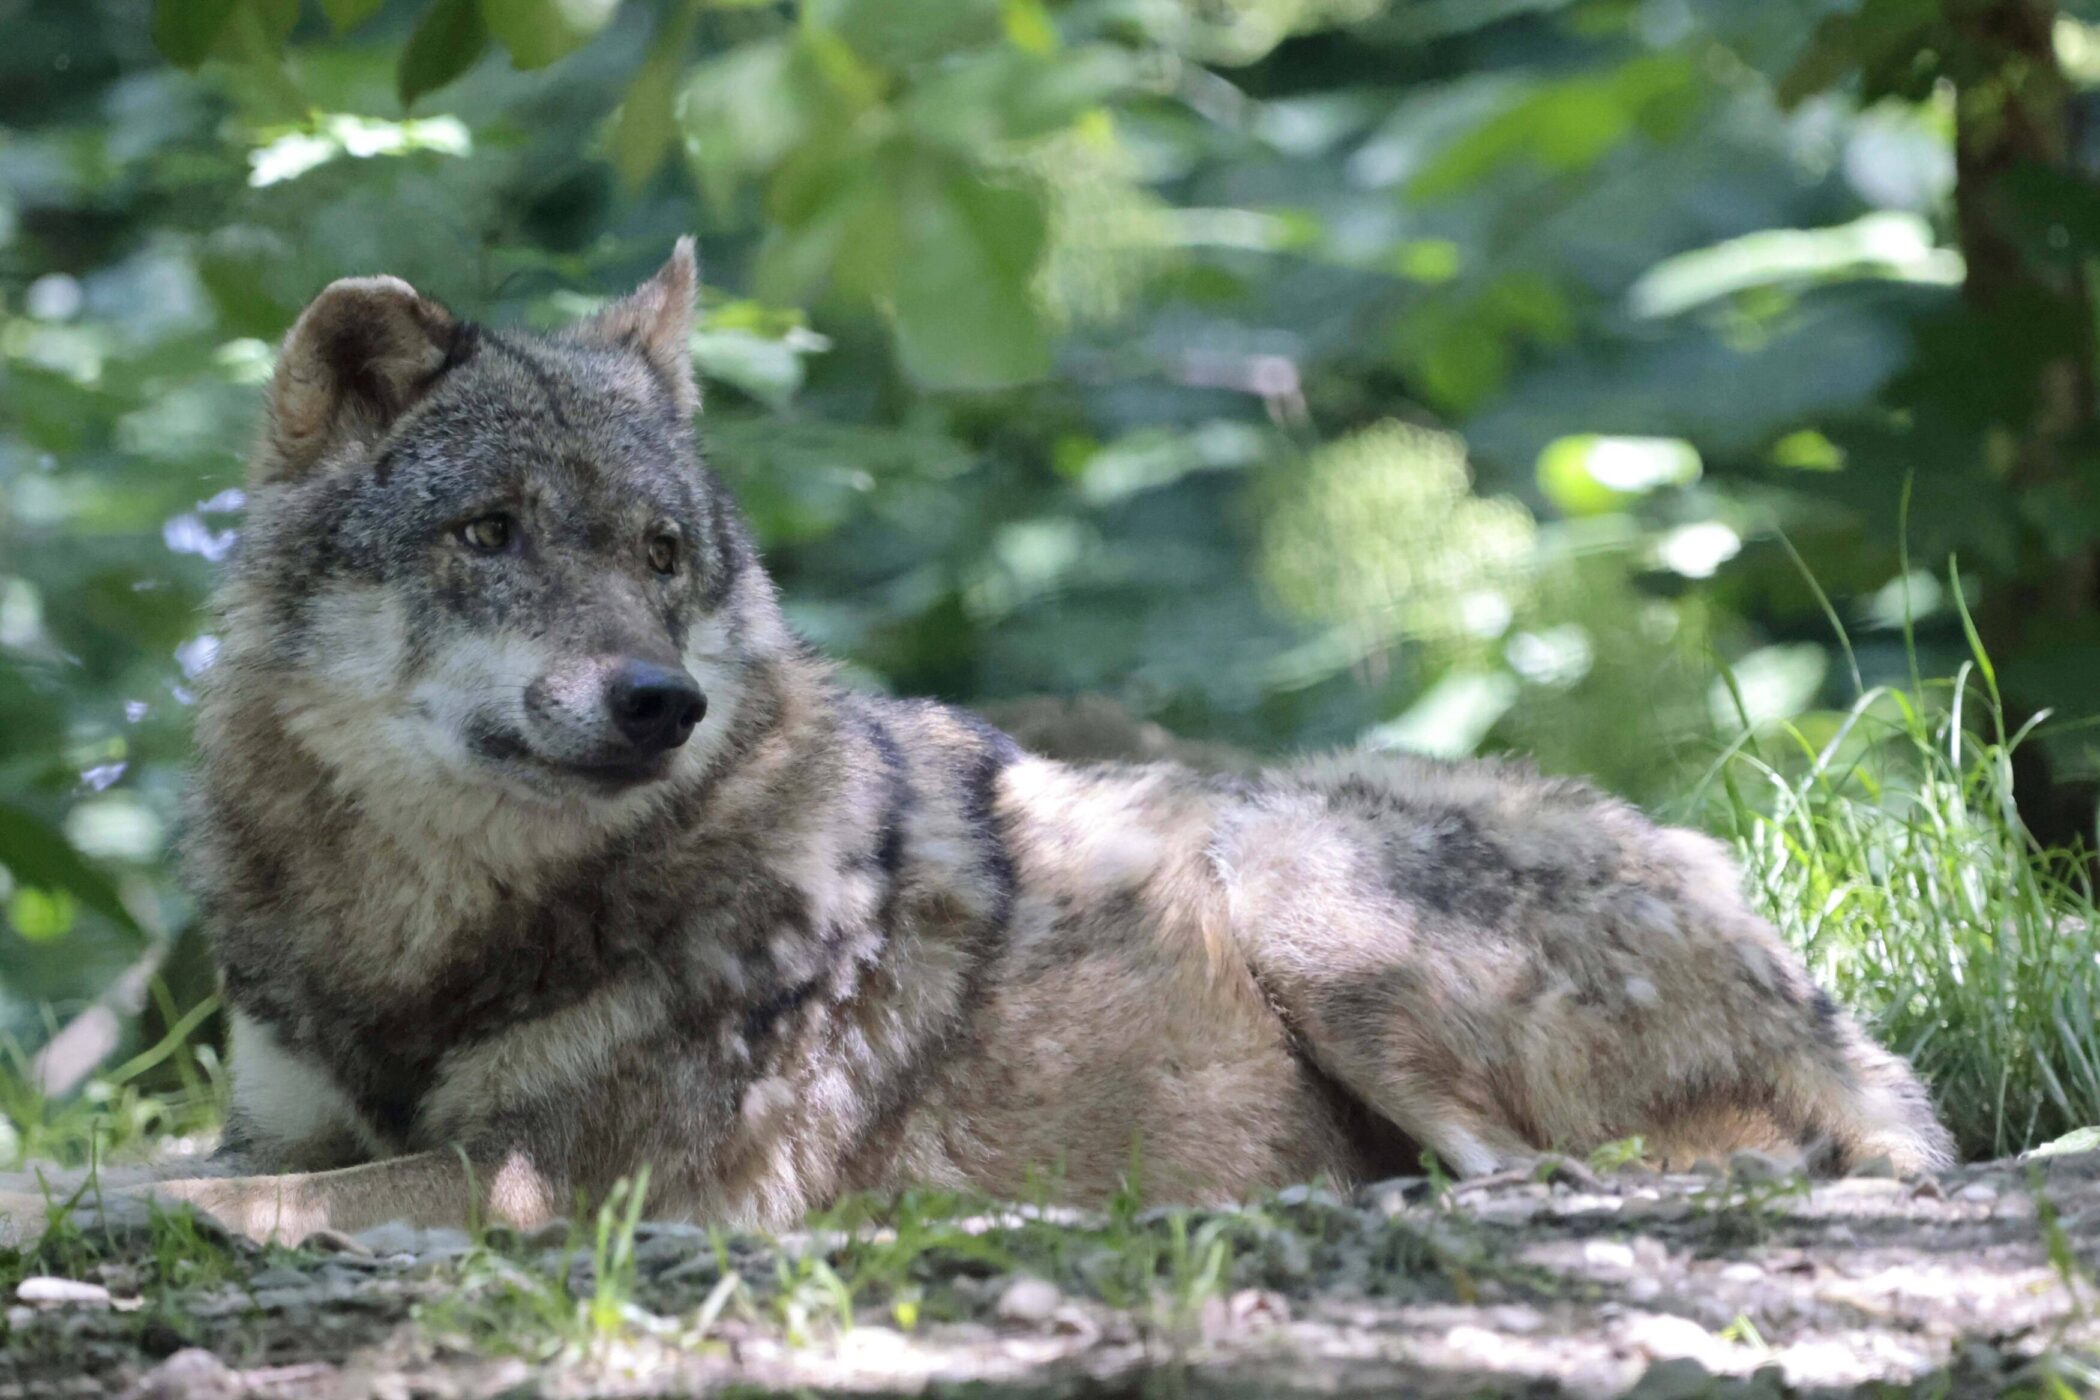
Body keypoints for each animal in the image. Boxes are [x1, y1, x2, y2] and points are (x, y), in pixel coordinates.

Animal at [0, 242, 1951, 1244]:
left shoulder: (580, 1182)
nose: (661, 700)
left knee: (1624, 1174)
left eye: (660, 554)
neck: (429, 928)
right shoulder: (284, 1123)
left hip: (1299, 885)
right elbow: (120, 1164)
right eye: (490, 533)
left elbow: (201, 1199)